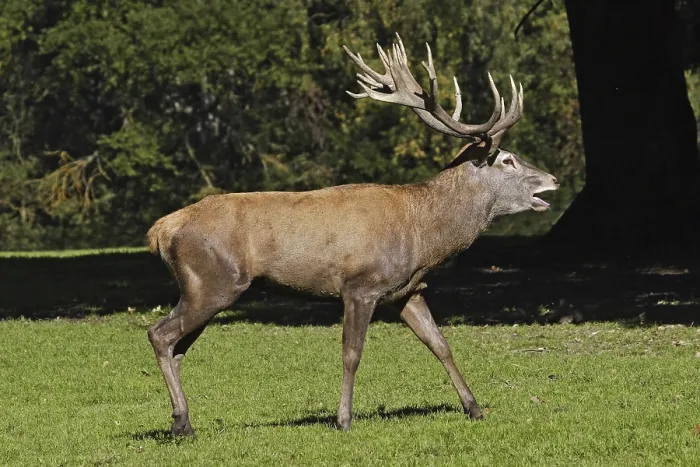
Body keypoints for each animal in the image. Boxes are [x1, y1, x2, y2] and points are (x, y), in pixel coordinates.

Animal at [146, 33, 559, 437]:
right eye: (507, 160)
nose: (553, 179)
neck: (424, 234)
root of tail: (161, 230)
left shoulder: (407, 290)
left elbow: (440, 344)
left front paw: (474, 408)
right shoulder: (360, 285)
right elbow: (352, 353)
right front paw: (343, 419)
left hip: (204, 288)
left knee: (178, 347)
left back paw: (183, 422)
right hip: (213, 281)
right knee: (160, 334)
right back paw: (181, 422)